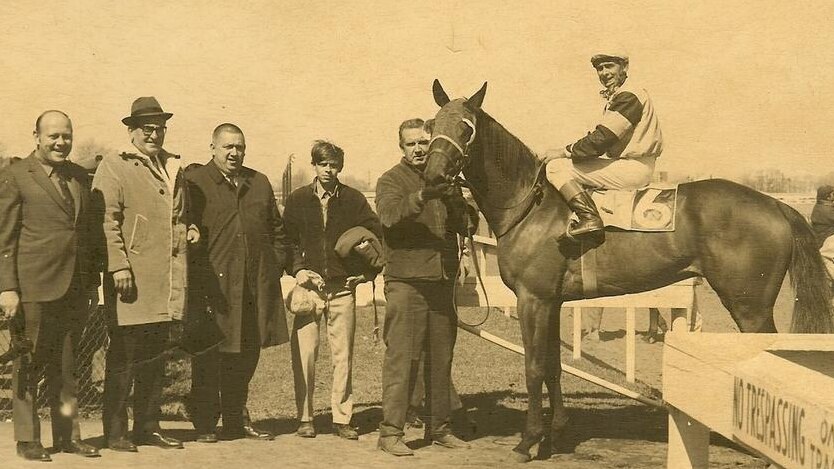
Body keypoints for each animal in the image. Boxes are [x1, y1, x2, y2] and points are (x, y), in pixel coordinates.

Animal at [422, 80, 832, 460]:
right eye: (431, 124)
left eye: (466, 128)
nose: (432, 178)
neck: (530, 206)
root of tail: (775, 205)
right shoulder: (552, 302)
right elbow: (553, 366)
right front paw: (558, 431)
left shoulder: (532, 300)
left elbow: (534, 367)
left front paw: (528, 442)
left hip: (750, 306)